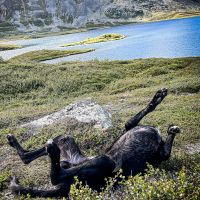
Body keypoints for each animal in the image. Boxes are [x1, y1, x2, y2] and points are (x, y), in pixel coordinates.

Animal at [7, 88, 180, 198]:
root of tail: (63, 187)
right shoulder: (130, 128)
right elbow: (134, 118)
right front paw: (157, 99)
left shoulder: (160, 155)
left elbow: (165, 151)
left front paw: (171, 129)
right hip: (70, 143)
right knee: (32, 159)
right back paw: (18, 142)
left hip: (102, 161)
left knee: (54, 175)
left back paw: (51, 150)